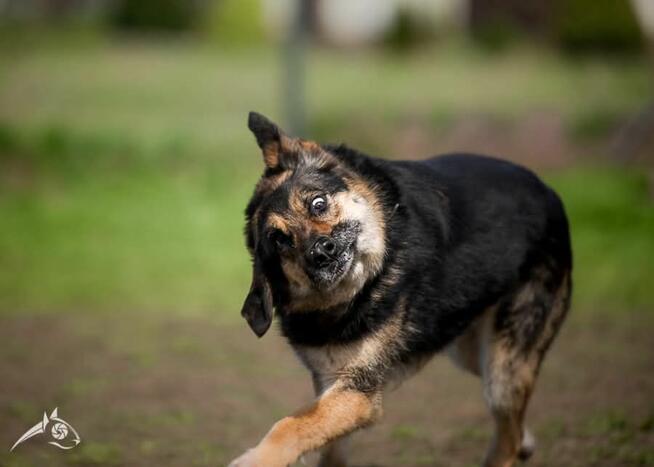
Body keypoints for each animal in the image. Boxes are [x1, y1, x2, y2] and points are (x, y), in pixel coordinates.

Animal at [232, 113, 576, 467]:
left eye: (318, 204)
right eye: (280, 240)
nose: (321, 253)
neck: (361, 288)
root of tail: (547, 190)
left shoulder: (359, 394)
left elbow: (289, 427)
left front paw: (255, 459)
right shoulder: (333, 383)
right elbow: (327, 446)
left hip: (502, 370)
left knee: (507, 437)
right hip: (472, 351)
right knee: (514, 424)